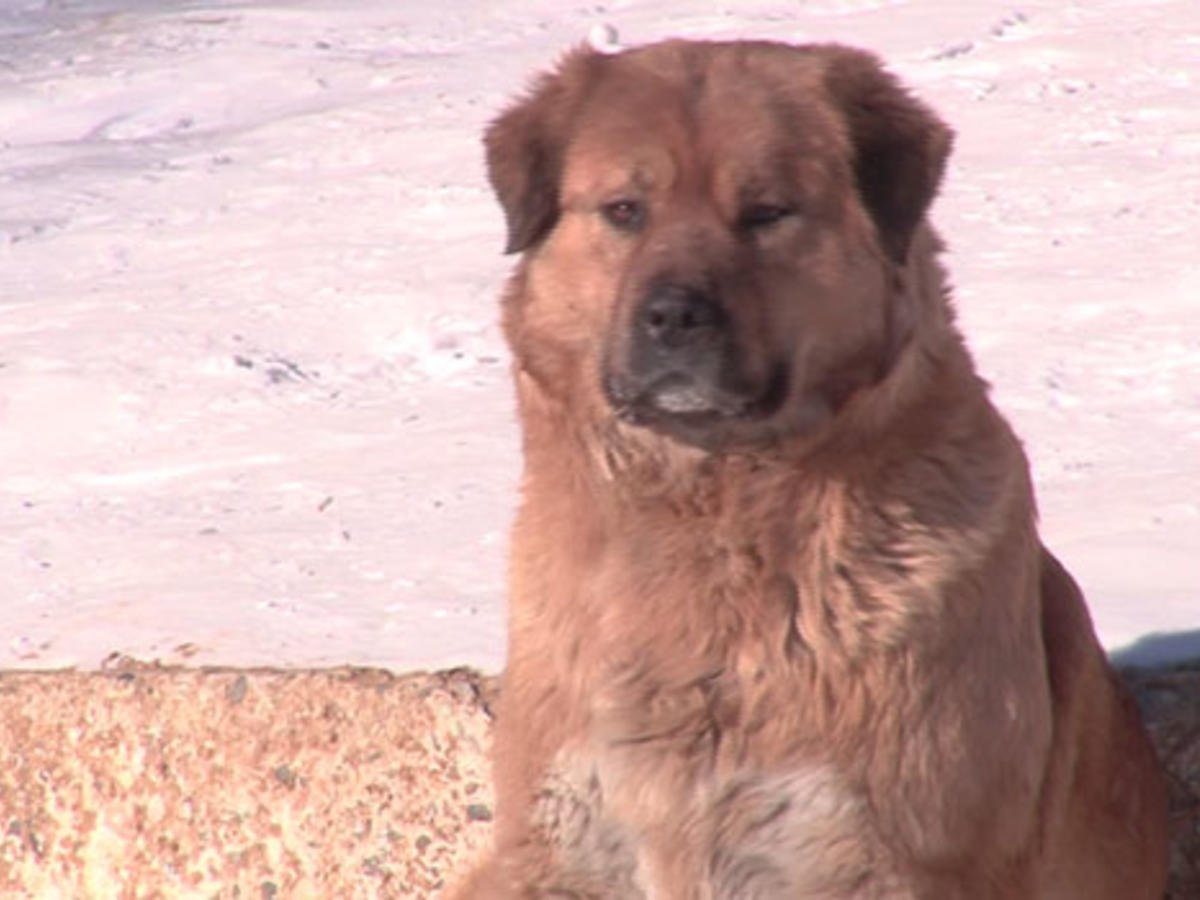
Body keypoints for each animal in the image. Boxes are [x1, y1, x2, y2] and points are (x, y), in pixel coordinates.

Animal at [451, 38, 1171, 897]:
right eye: (625, 210)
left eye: (767, 213)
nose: (673, 315)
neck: (711, 514)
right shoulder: (562, 847)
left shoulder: (881, 853)